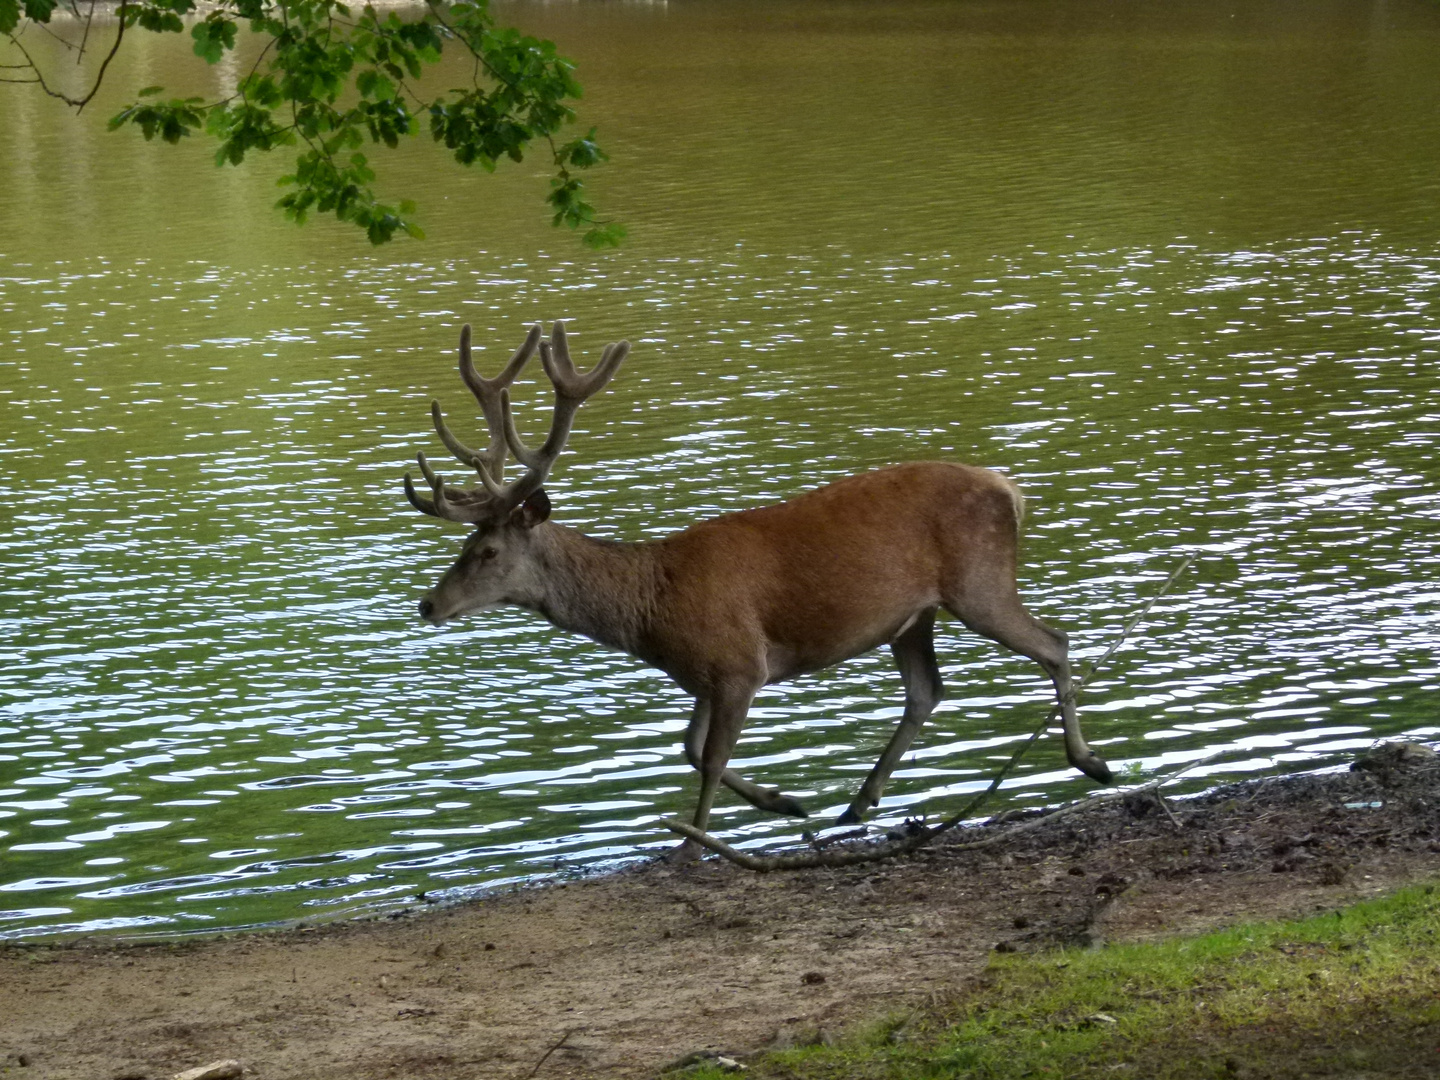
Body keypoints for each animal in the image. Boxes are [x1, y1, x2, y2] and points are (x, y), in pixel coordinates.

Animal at [406, 319, 1111, 864]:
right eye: (464, 545)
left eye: (487, 552)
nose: (428, 604)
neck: (651, 611)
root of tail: (1010, 490)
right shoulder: (704, 674)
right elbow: (690, 748)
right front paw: (785, 802)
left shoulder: (740, 664)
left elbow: (711, 757)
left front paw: (693, 846)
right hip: (915, 616)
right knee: (927, 690)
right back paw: (857, 804)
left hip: (978, 581)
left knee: (1055, 642)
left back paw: (1089, 761)